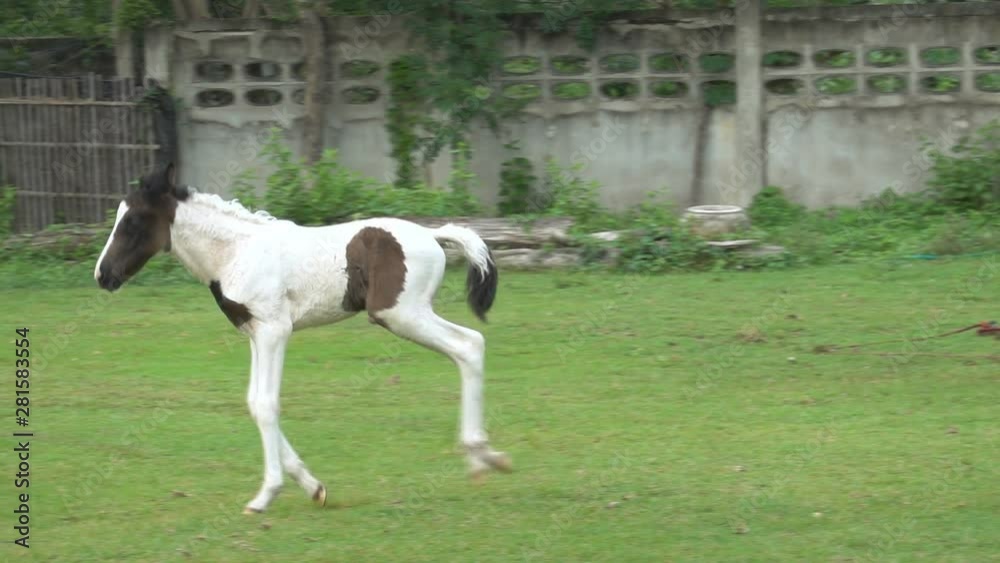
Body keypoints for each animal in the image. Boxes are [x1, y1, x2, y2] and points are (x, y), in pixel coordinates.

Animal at [93, 163, 511, 514]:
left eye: (132, 221)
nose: (103, 275)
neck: (236, 252)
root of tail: (432, 234)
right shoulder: (256, 333)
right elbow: (253, 402)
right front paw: (314, 488)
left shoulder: (275, 330)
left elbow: (266, 404)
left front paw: (266, 495)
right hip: (409, 314)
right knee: (469, 345)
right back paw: (483, 459)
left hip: (401, 314)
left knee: (468, 344)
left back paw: (482, 455)